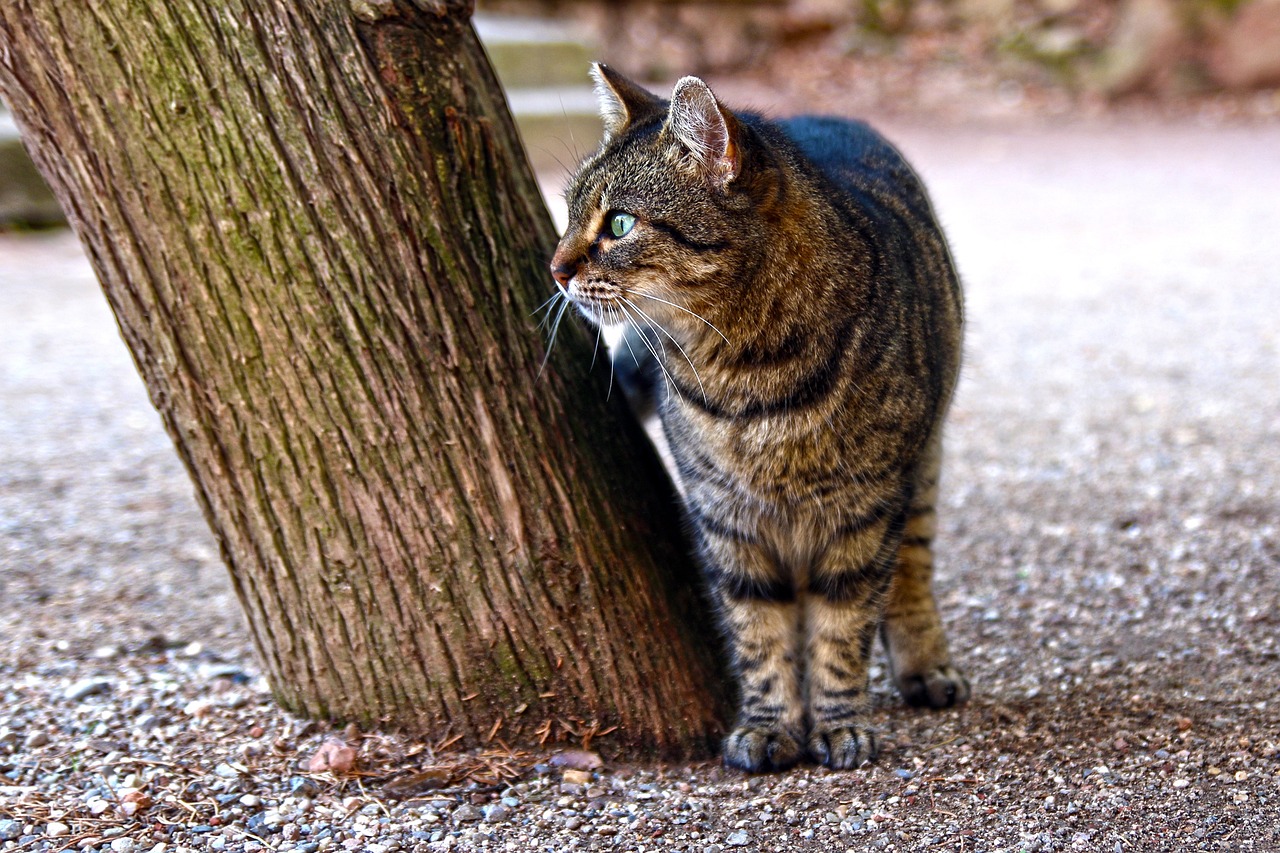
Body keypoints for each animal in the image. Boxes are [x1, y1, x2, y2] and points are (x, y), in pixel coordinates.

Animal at [547, 64, 967, 768]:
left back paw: (926, 664)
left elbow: (842, 628)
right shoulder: (727, 520)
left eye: (621, 225)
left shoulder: (864, 515)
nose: (554, 269)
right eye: (570, 215)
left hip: (921, 465)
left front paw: (839, 721)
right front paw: (770, 723)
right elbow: (758, 631)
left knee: (911, 568)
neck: (746, 377)